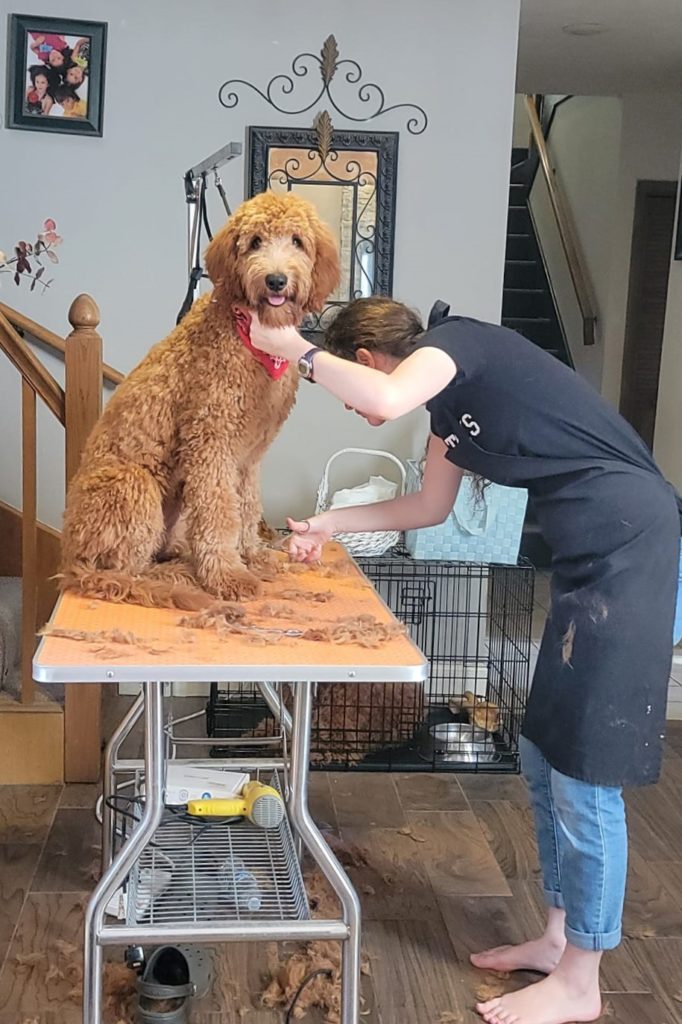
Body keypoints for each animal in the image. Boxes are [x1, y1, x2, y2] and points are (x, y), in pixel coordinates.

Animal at [60, 192, 339, 602]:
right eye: (255, 241)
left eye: (297, 241)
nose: (275, 280)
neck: (249, 337)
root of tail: (71, 553)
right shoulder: (211, 444)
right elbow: (219, 512)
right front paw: (227, 573)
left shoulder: (249, 457)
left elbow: (247, 507)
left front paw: (251, 556)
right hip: (133, 483)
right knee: (122, 572)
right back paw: (176, 576)